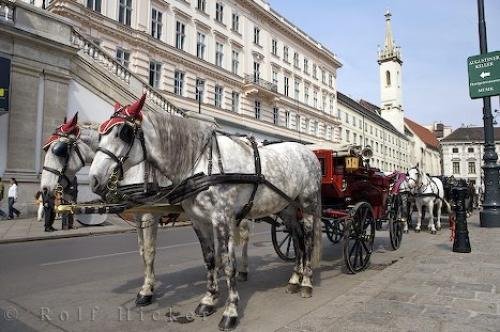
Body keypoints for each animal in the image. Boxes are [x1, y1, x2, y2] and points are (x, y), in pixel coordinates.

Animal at [89, 94, 324, 330]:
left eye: (123, 133)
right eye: (100, 135)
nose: (94, 180)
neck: (201, 163)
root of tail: (308, 152)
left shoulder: (221, 219)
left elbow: (228, 264)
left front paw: (230, 311)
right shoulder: (198, 221)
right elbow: (209, 259)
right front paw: (209, 300)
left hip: (308, 204)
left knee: (308, 239)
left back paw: (306, 282)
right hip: (287, 208)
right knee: (297, 237)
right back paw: (294, 279)